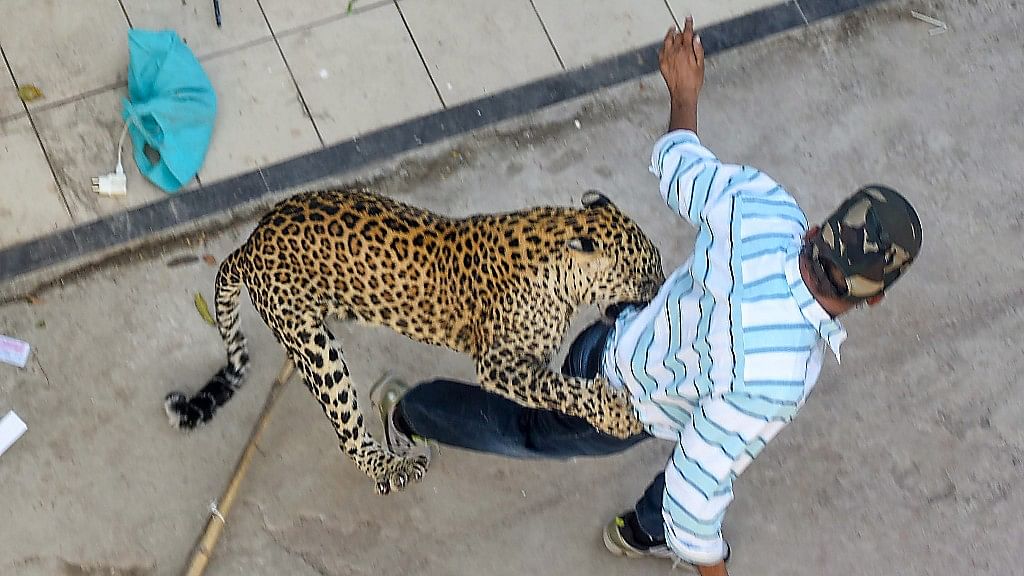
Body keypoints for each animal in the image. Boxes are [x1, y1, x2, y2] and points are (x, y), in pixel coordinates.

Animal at [165, 186, 663, 491]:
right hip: (315, 349)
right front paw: (620, 416)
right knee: (348, 430)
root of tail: (249, 243)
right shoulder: (499, 363)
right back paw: (392, 465)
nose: (663, 290)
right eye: (645, 273)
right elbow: (559, 388)